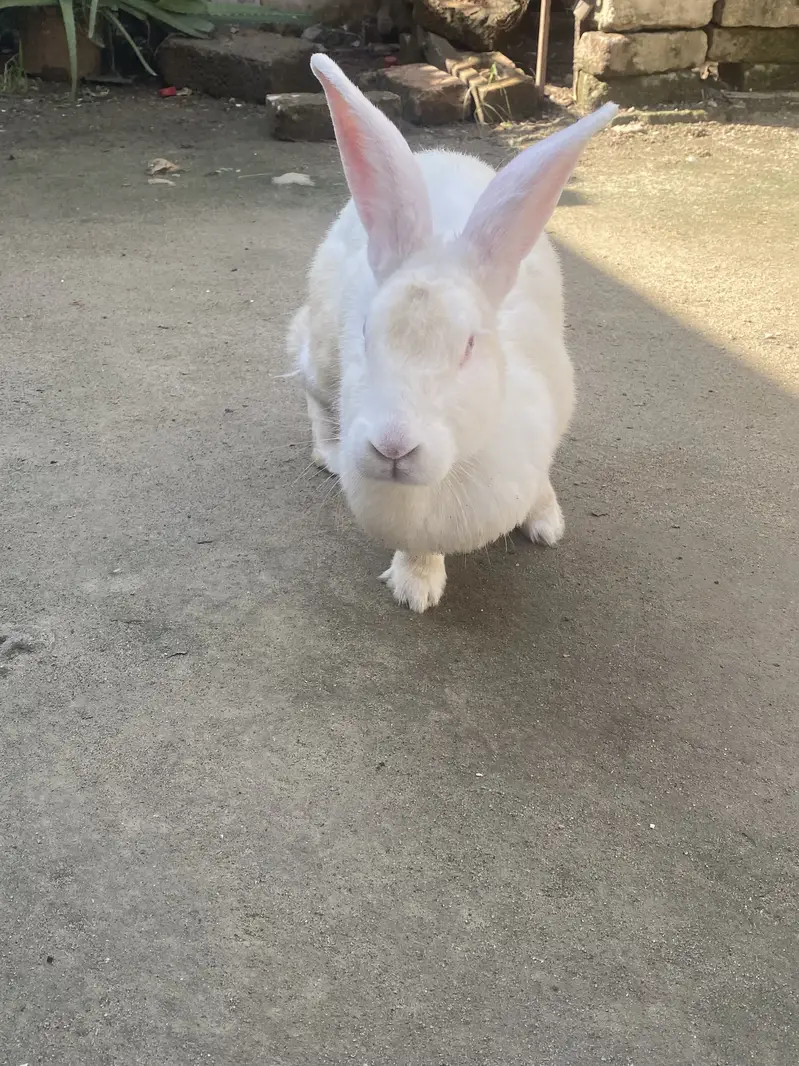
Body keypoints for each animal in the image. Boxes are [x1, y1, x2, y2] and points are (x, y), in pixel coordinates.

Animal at [288, 54, 617, 612]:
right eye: (366, 333)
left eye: (469, 345)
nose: (392, 447)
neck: (451, 472)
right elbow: (418, 552)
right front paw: (415, 587)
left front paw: (546, 523)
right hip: (321, 346)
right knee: (313, 389)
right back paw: (328, 453)